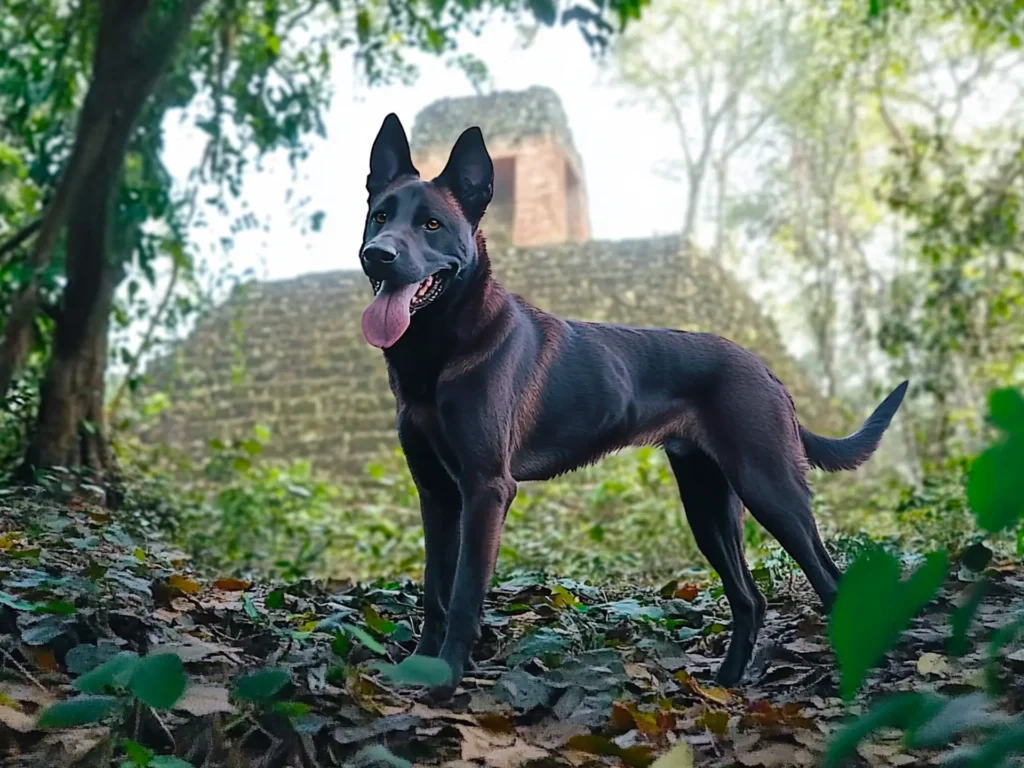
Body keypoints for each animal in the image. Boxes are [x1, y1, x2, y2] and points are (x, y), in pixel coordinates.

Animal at [356, 112, 909, 696]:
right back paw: (725, 683)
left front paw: (445, 684)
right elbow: (434, 592)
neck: (439, 351)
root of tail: (765, 368)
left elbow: (463, 596)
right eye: (380, 216)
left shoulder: (486, 488)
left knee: (829, 582)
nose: (379, 255)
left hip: (770, 487)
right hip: (707, 504)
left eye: (432, 225)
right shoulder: (436, 494)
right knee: (750, 600)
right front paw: (418, 668)